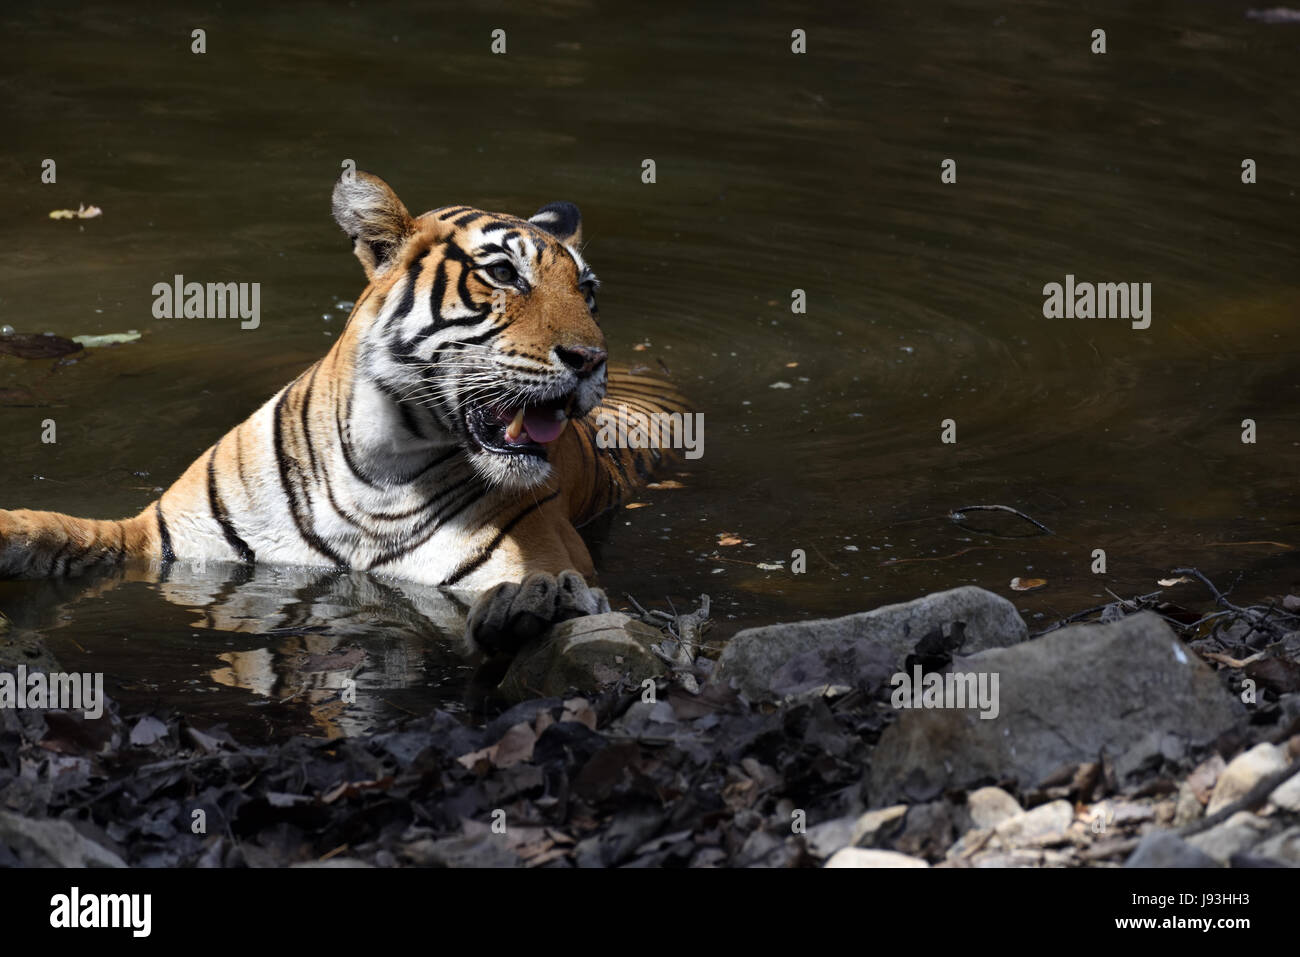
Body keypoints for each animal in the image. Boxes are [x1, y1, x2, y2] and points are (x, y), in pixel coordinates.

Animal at [0, 167, 691, 655]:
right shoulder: (159, 537)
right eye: (503, 273)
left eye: (588, 292)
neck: (382, 464)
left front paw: (530, 605)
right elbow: (62, 528)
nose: (591, 359)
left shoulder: (550, 550)